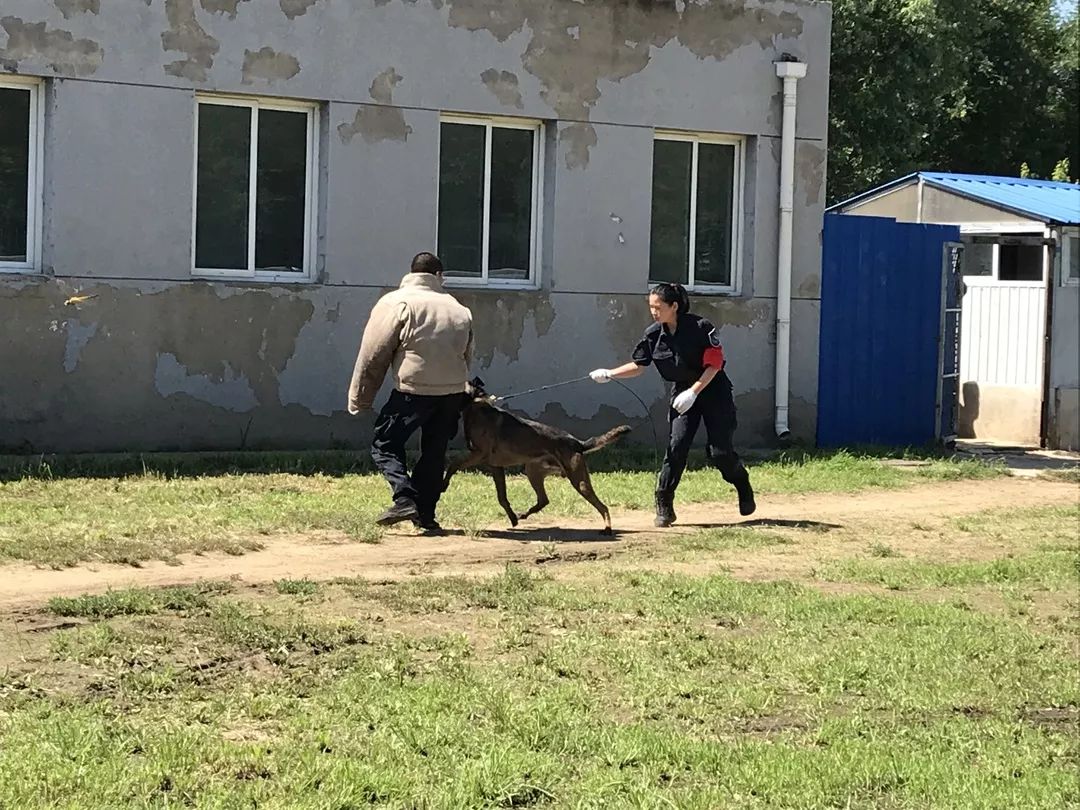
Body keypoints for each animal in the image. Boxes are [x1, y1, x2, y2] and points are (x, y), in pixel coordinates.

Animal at [442, 380, 630, 535]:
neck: (475, 403)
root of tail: (577, 442)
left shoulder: (479, 454)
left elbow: (453, 464)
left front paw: (444, 484)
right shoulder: (495, 466)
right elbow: (502, 497)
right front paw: (512, 518)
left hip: (579, 481)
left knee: (602, 506)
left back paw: (607, 528)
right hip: (533, 472)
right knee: (543, 500)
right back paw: (523, 514)